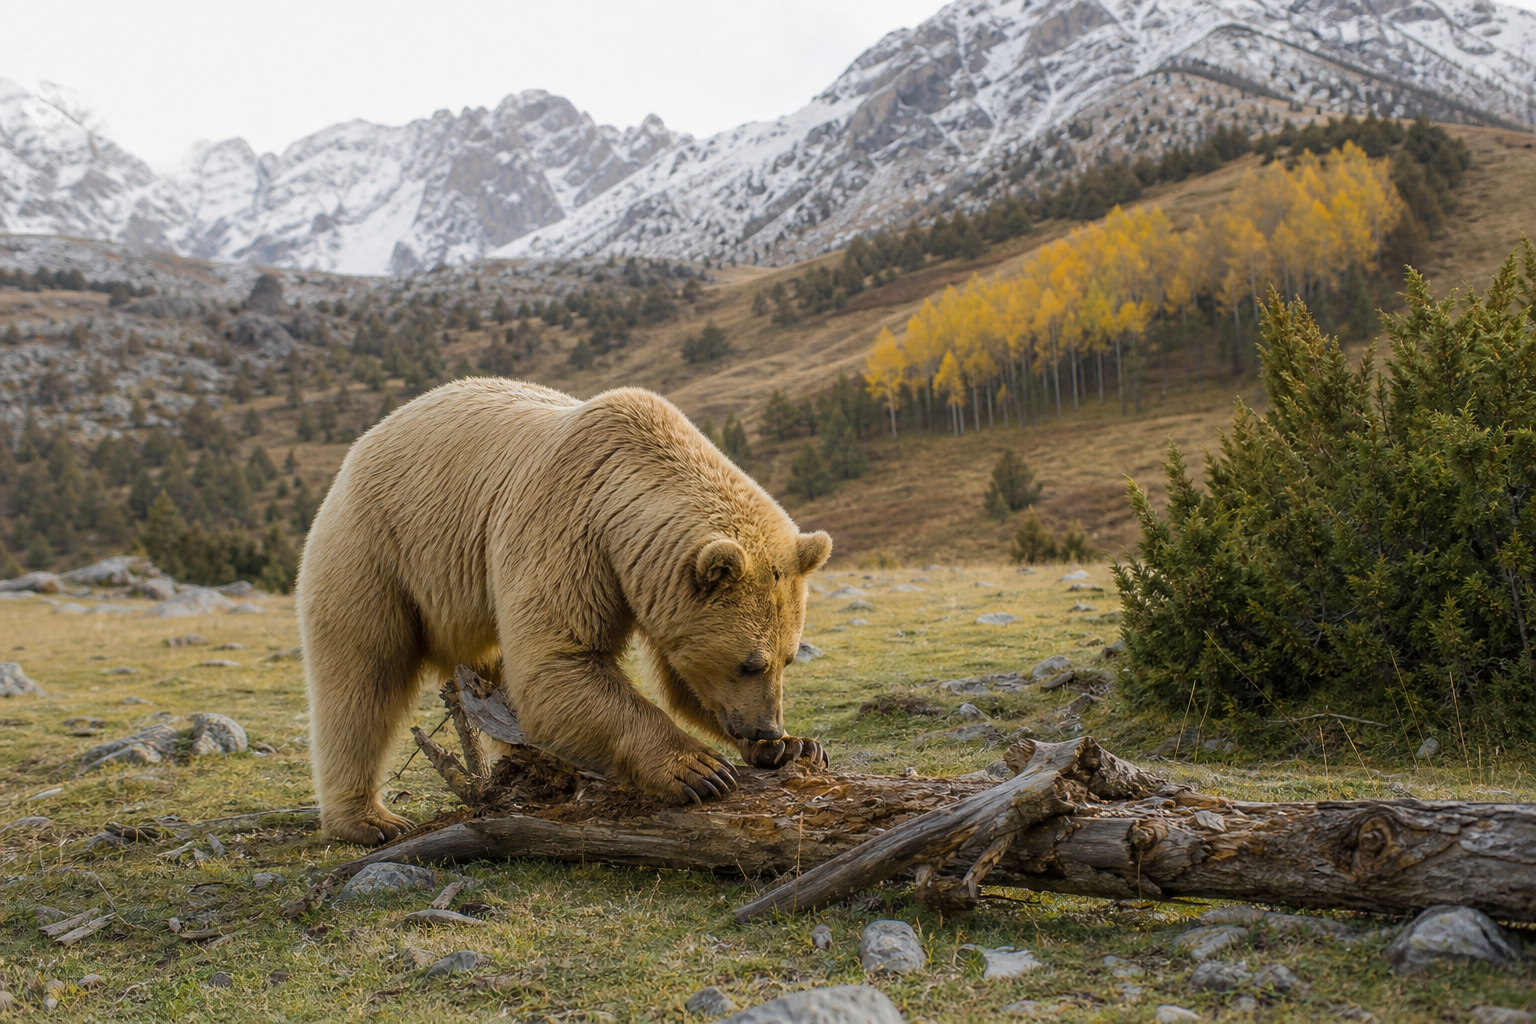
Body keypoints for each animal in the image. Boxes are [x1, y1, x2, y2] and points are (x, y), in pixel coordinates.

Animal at [297, 377, 833, 845]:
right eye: (750, 663)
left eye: (787, 658)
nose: (765, 727)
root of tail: (367, 439)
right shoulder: (567, 529)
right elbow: (557, 662)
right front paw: (700, 769)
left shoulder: (648, 583)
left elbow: (677, 678)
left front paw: (795, 746)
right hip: (376, 550)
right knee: (362, 678)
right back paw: (370, 820)